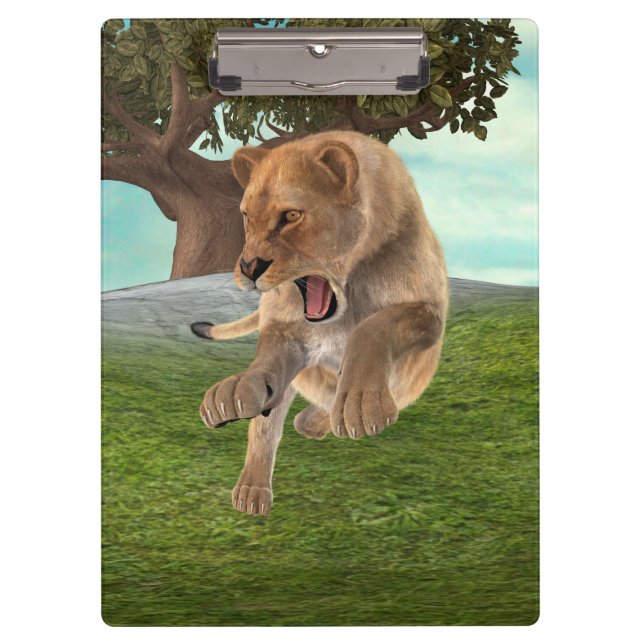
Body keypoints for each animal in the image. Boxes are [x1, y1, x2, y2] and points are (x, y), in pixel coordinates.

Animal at [191, 130, 448, 516]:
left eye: (291, 215)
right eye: (247, 216)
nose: (249, 268)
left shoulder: (429, 312)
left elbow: (372, 327)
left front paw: (360, 403)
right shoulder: (285, 329)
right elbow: (266, 381)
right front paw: (237, 389)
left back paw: (315, 420)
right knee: (270, 421)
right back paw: (252, 489)